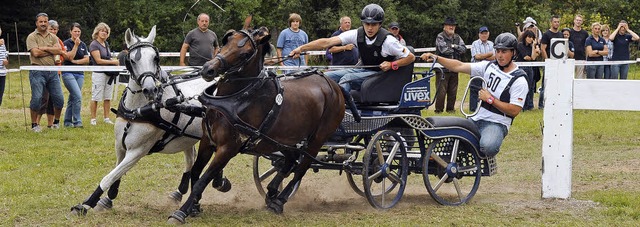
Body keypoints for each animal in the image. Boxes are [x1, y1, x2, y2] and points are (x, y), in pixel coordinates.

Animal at [71, 25, 218, 215]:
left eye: (155, 58)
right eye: (132, 60)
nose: (149, 89)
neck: (137, 110)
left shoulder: (138, 151)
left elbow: (109, 176)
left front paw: (87, 203)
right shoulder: (120, 146)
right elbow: (117, 173)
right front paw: (108, 198)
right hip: (187, 136)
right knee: (191, 161)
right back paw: (180, 193)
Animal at [166, 26, 344, 223]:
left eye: (245, 54)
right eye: (227, 42)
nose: (208, 69)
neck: (236, 99)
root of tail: (333, 86)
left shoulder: (228, 148)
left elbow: (203, 180)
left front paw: (181, 211)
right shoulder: (207, 140)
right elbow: (196, 173)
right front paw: (194, 206)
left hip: (316, 139)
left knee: (300, 169)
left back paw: (279, 201)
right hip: (280, 140)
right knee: (290, 160)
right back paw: (272, 192)